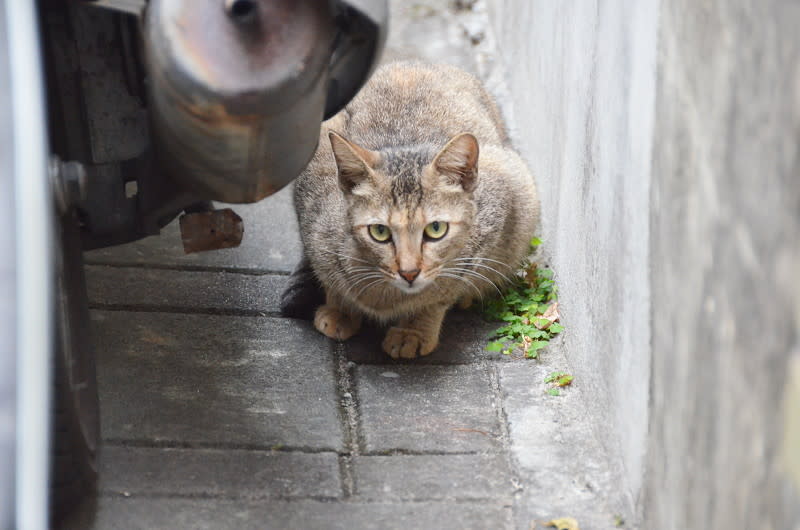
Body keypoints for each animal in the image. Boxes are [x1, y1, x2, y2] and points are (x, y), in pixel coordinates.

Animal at [290, 60, 540, 358]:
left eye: (436, 229)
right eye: (379, 232)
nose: (409, 272)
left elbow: (441, 292)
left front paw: (415, 330)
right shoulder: (312, 219)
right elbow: (329, 277)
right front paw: (340, 308)